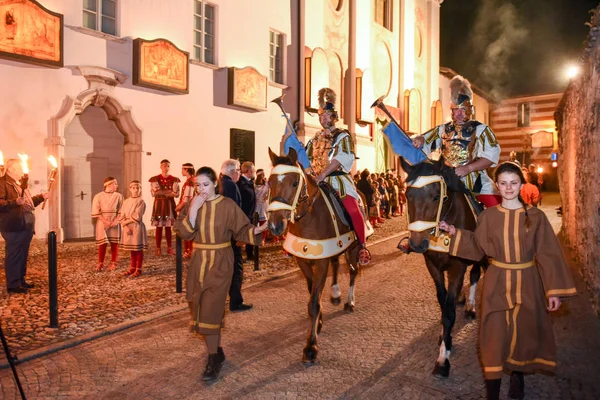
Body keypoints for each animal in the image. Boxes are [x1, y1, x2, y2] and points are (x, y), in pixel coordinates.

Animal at [268, 148, 360, 366]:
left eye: (295, 183)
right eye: (269, 183)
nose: (275, 226)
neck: (308, 218)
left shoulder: (320, 262)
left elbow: (314, 302)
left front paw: (311, 347)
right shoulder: (303, 260)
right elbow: (312, 294)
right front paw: (318, 322)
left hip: (353, 248)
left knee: (354, 271)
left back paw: (349, 302)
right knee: (337, 264)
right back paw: (335, 294)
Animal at [398, 156, 488, 378]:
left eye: (437, 196)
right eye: (407, 195)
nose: (417, 243)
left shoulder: (457, 267)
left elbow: (448, 313)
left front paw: (442, 360)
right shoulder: (433, 266)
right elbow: (442, 302)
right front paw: (444, 339)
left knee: (475, 275)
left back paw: (471, 306)